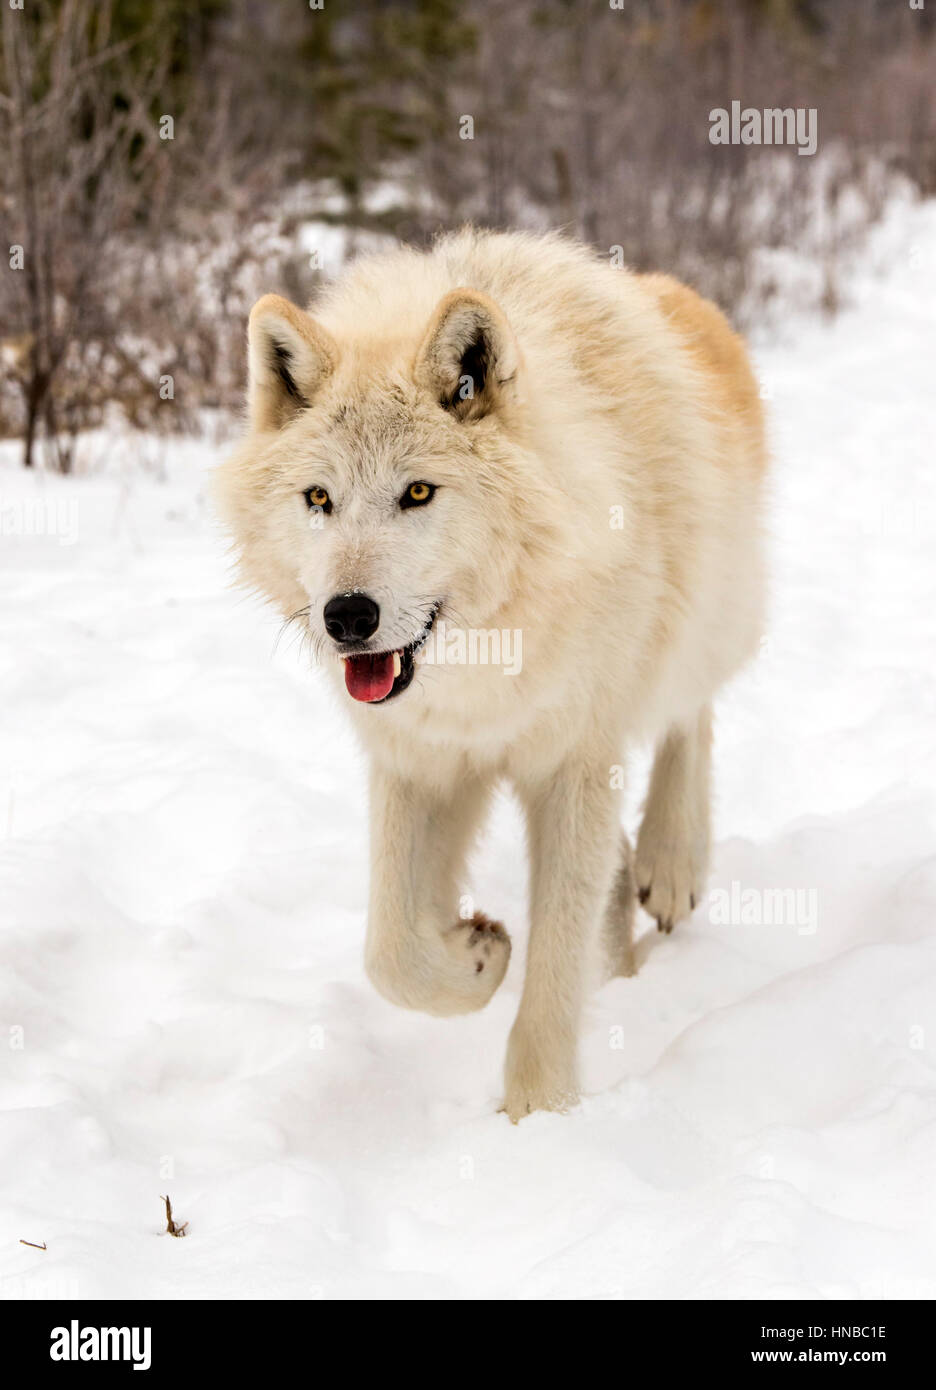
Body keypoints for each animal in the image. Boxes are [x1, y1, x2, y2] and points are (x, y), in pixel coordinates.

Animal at [214, 228, 767, 1121]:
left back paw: (671, 862)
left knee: (691, 716)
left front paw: (538, 1113)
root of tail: (677, 292)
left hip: (702, 621)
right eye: (319, 499)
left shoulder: (574, 764)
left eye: (417, 492)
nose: (346, 616)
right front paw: (477, 958)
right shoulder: (420, 763)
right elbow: (391, 954)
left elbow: (554, 964)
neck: (480, 670)